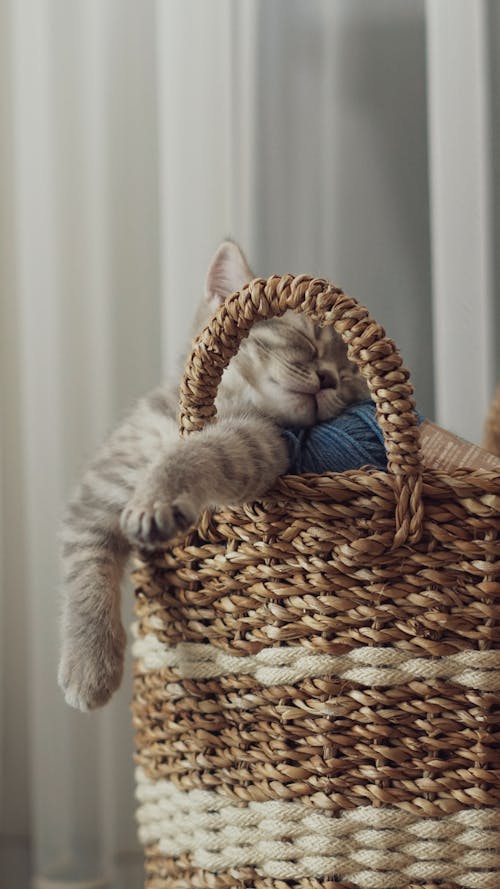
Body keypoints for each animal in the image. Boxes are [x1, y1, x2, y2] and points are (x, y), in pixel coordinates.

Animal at [59, 241, 368, 708]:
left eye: (349, 377)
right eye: (305, 339)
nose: (331, 377)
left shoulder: (257, 442)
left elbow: (196, 454)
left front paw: (159, 495)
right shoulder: (102, 481)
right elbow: (87, 567)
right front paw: (89, 662)